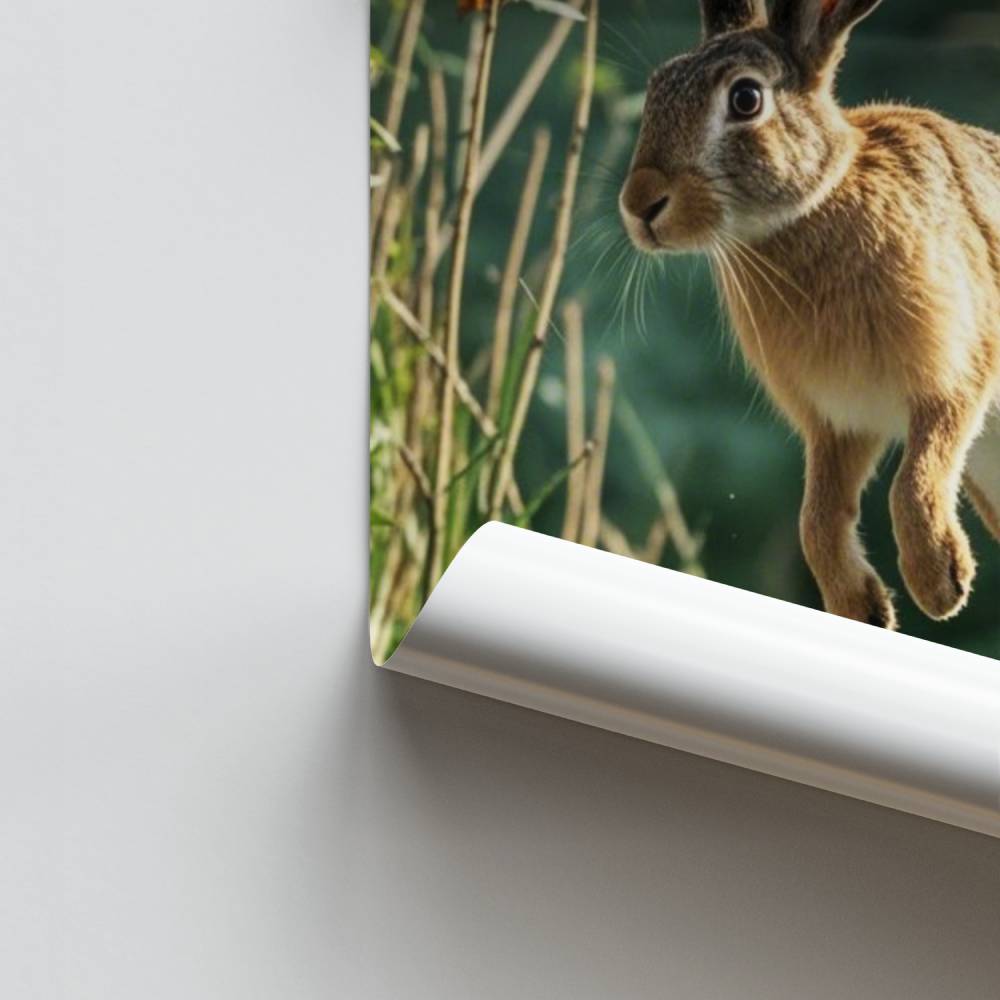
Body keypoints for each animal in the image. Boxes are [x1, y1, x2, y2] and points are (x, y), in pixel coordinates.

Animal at [618, 0, 1000, 630]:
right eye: (655, 88)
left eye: (746, 99)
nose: (639, 204)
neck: (813, 208)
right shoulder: (838, 422)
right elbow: (816, 519)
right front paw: (864, 610)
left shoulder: (958, 370)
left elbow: (914, 478)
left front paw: (940, 583)